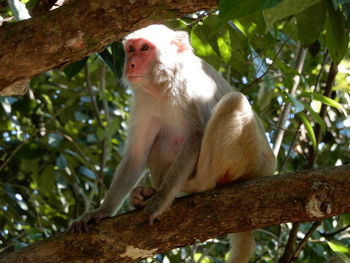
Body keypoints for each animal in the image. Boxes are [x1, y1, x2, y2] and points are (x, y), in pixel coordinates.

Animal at [70, 24, 276, 263]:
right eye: (131, 49)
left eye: (145, 48)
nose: (130, 64)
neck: (163, 83)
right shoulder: (143, 99)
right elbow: (137, 154)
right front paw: (102, 211)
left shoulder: (191, 86)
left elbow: (196, 135)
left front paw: (160, 201)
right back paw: (146, 192)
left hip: (250, 159)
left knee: (234, 102)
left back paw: (194, 185)